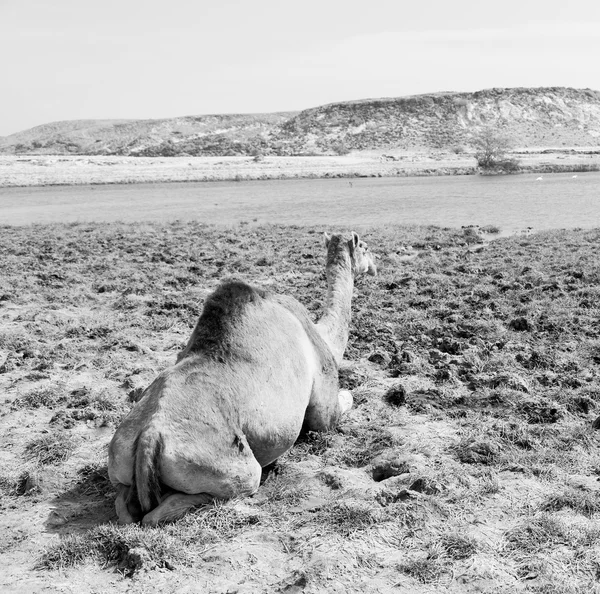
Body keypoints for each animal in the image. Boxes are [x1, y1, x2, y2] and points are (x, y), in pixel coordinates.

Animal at [109, 230, 376, 524]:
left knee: (124, 505)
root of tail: (149, 437)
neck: (321, 334)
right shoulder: (323, 407)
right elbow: (341, 405)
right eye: (364, 247)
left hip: (119, 463)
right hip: (232, 467)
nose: (375, 264)